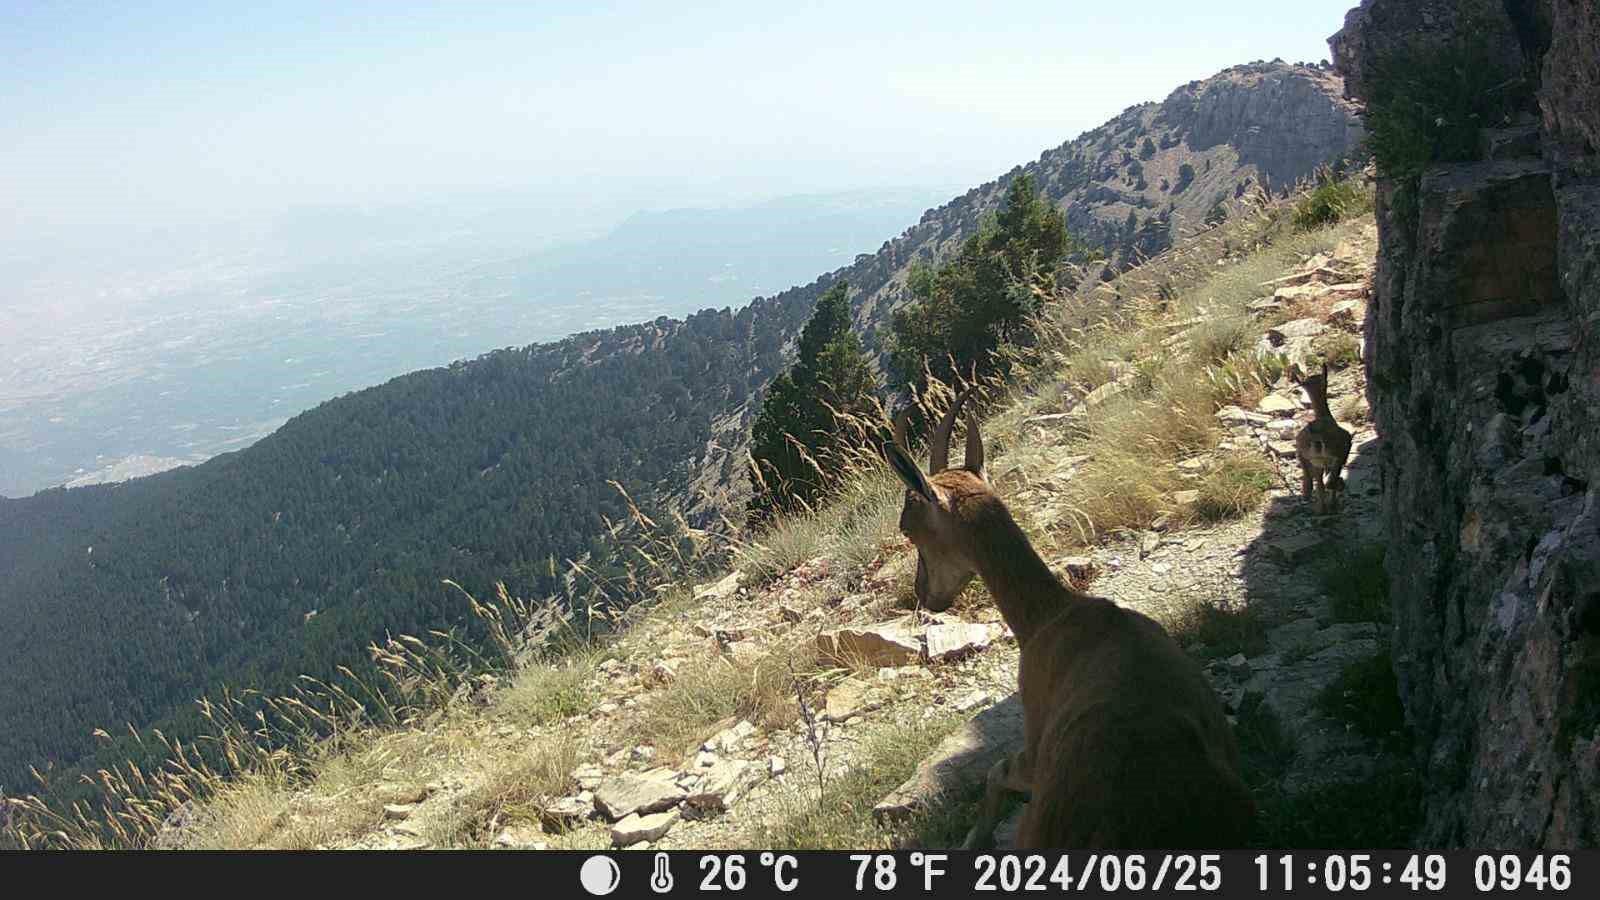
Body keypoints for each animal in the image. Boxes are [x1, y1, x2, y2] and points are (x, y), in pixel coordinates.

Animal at [889, 389, 1248, 845]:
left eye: (909, 528)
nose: (924, 595)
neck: (1051, 615)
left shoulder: (1034, 747)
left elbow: (997, 769)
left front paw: (974, 837)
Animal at [1286, 358, 1350, 512]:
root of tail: (1317, 437)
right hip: (1334, 453)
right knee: (1330, 481)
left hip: (1312, 458)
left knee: (1320, 483)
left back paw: (1319, 507)